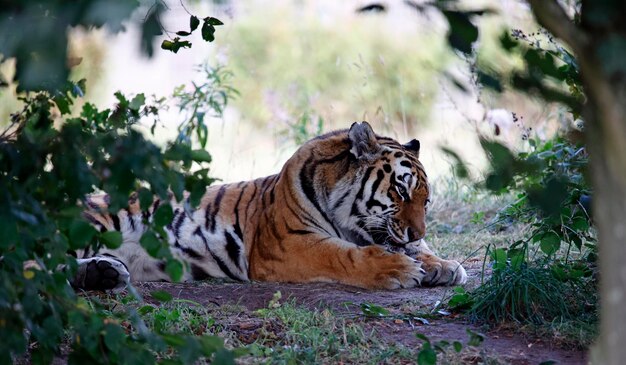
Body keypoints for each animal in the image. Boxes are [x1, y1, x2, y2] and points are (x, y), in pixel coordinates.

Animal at [72, 121, 464, 290]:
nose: (417, 231)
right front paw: (400, 269)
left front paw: (443, 265)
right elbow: (345, 255)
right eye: (401, 192)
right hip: (93, 223)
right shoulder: (290, 243)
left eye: (426, 200)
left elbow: (415, 249)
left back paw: (104, 273)